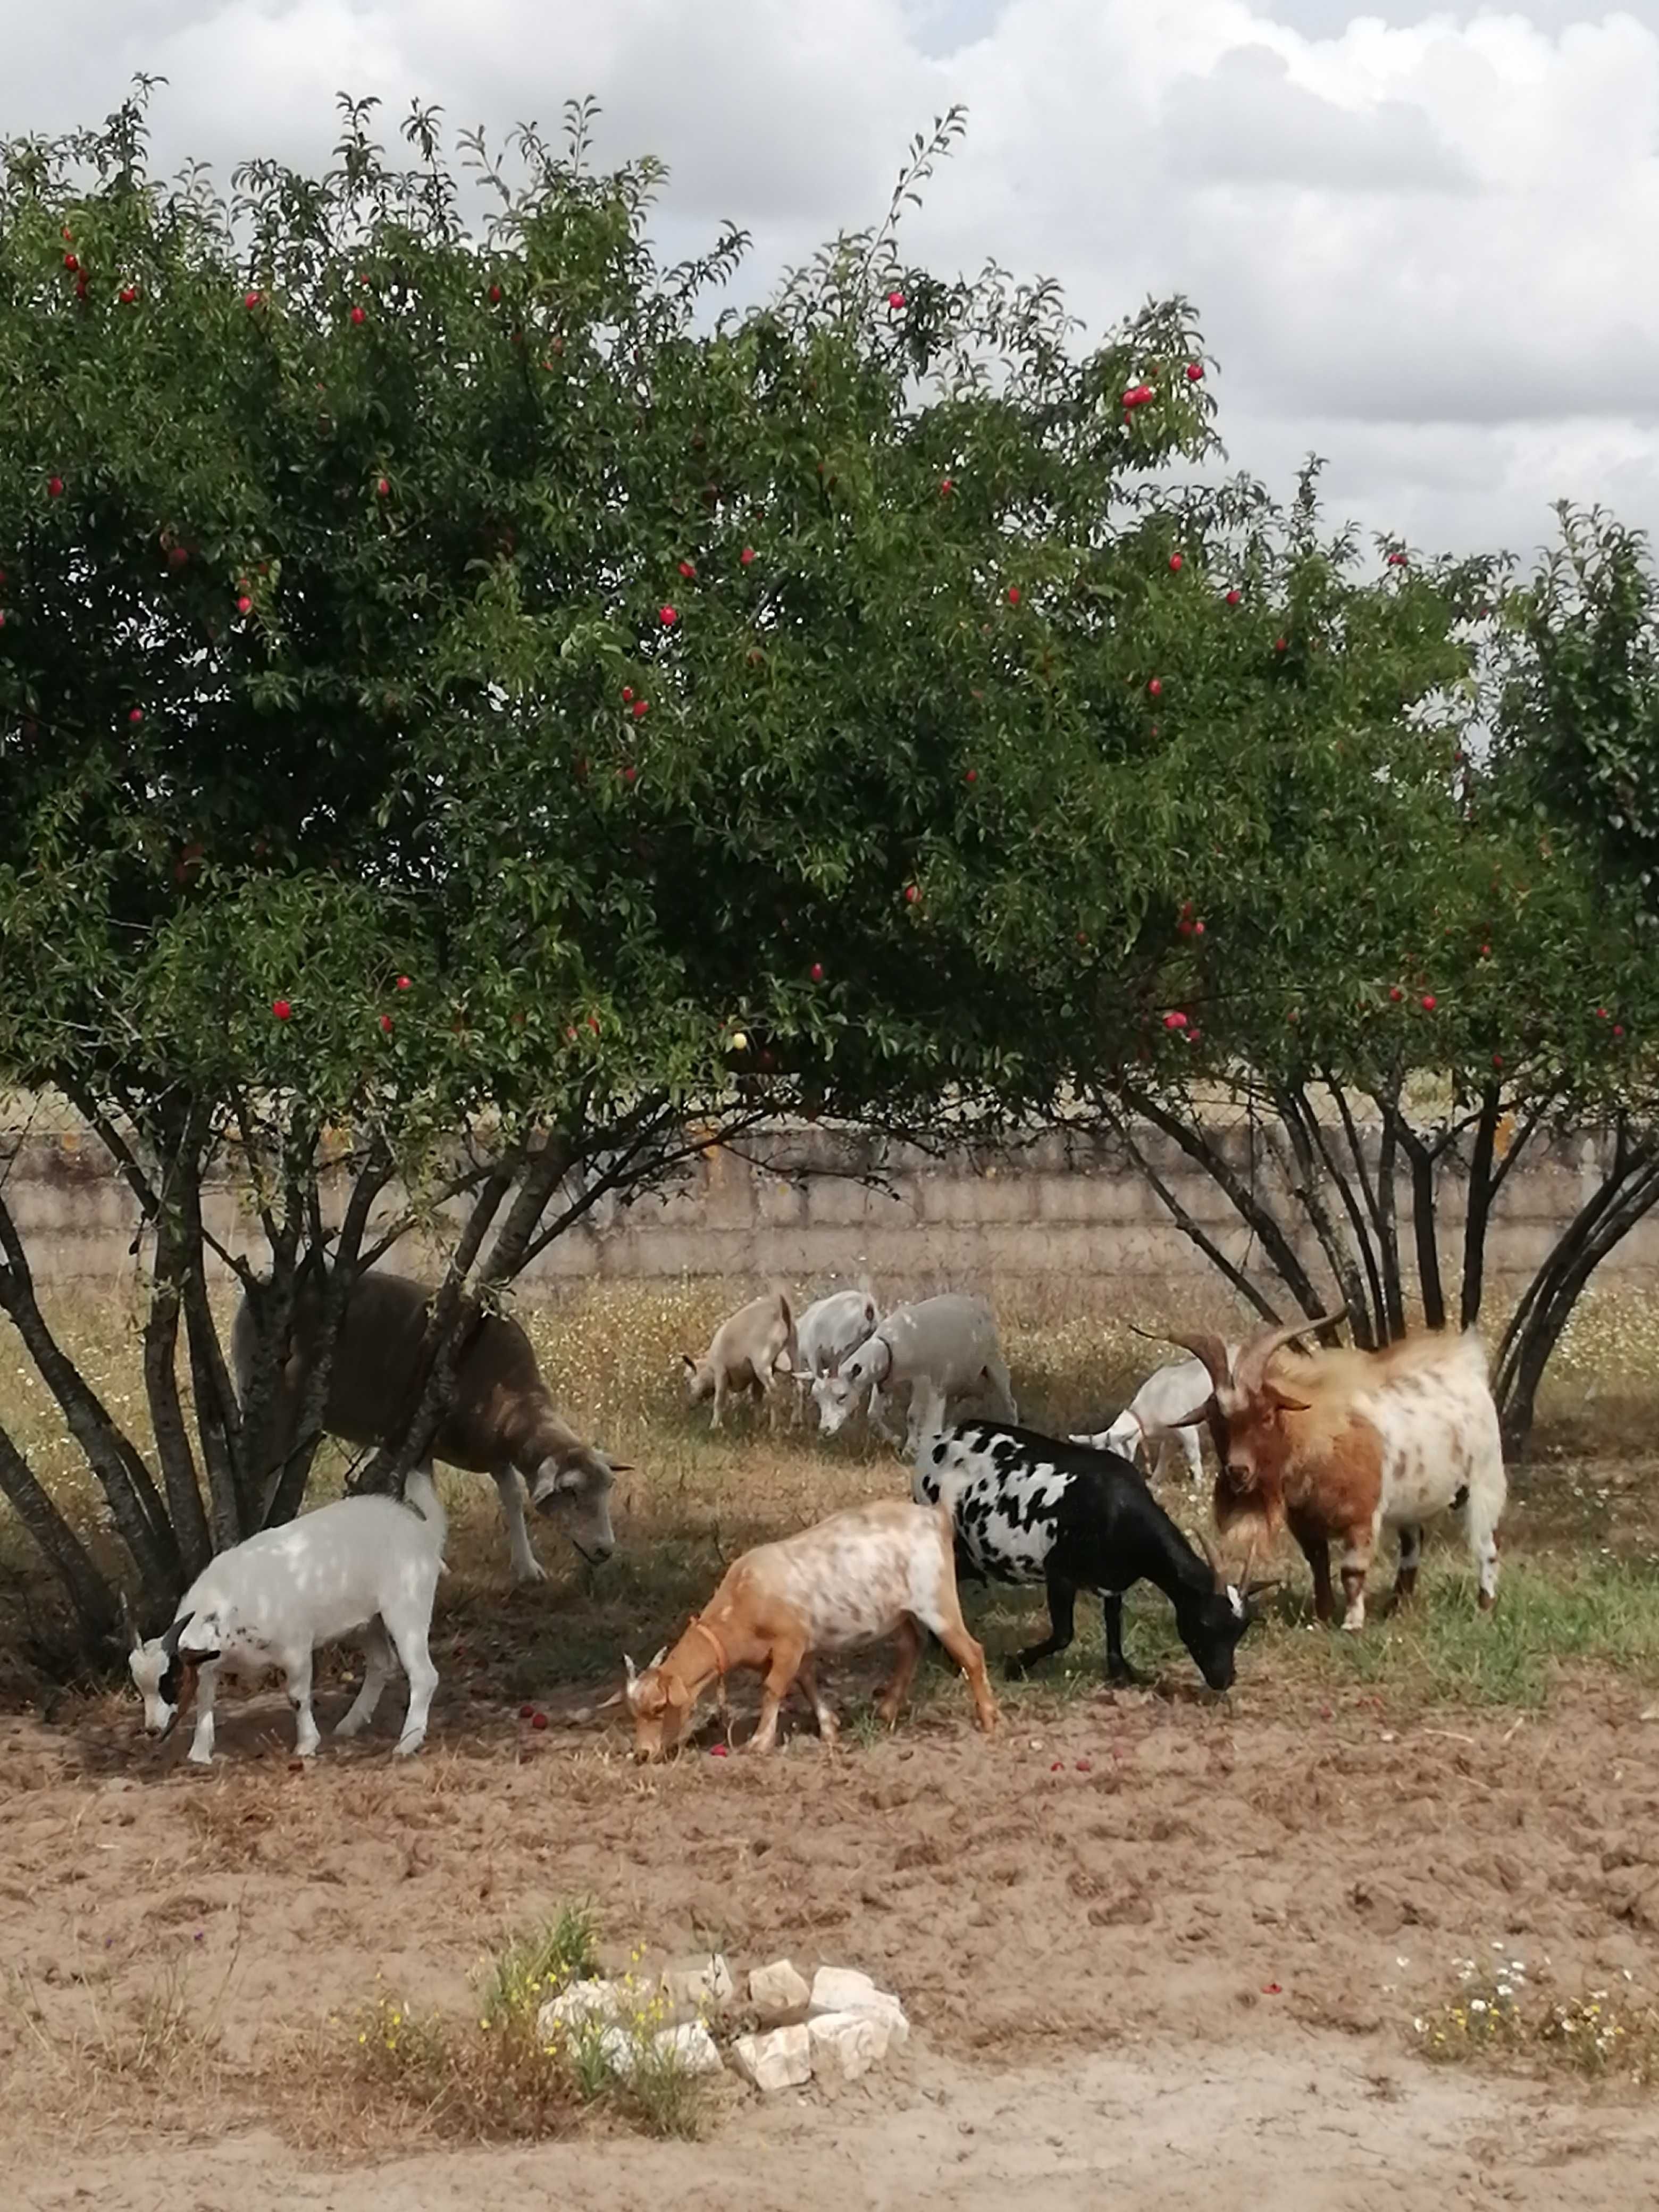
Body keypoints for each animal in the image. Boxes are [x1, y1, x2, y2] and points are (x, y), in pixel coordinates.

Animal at [924, 1425, 1274, 1681]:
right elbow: (1064, 1635)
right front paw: (1015, 1665)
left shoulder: (1113, 1582)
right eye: (1205, 1622)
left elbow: (1114, 1631)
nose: (1224, 1680)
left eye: (1241, 1630)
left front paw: (1125, 1674)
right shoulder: (1060, 1575)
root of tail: (944, 1437)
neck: (1115, 1510)